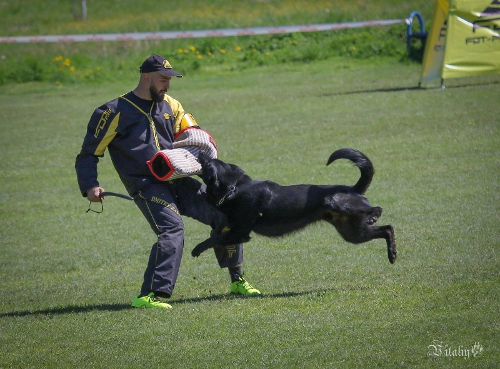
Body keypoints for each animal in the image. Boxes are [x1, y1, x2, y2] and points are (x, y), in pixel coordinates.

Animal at [193, 148, 396, 264]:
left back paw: (375, 216)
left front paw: (197, 249)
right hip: (353, 233)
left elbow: (214, 239)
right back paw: (392, 254)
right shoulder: (234, 230)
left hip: (337, 203)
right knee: (387, 229)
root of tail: (354, 189)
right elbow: (216, 234)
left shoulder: (239, 233)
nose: (201, 154)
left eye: (208, 163)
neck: (234, 188)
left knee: (378, 210)